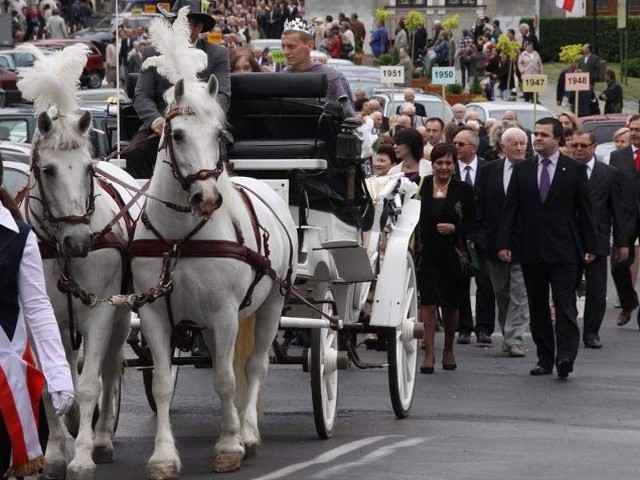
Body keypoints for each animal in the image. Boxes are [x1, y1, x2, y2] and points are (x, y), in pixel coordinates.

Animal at [16, 44, 137, 480]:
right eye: (48, 170)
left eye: (87, 169)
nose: (80, 242)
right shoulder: (39, 316)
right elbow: (53, 384)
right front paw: (53, 455)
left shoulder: (100, 311)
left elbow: (88, 385)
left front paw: (82, 457)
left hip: (122, 313)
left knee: (109, 367)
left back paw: (100, 439)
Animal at [132, 75, 298, 476]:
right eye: (176, 134)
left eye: (219, 135)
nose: (206, 198)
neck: (179, 239)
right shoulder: (153, 313)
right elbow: (162, 383)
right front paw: (163, 456)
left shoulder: (224, 314)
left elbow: (224, 379)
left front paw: (230, 445)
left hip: (272, 303)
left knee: (255, 366)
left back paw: (247, 431)